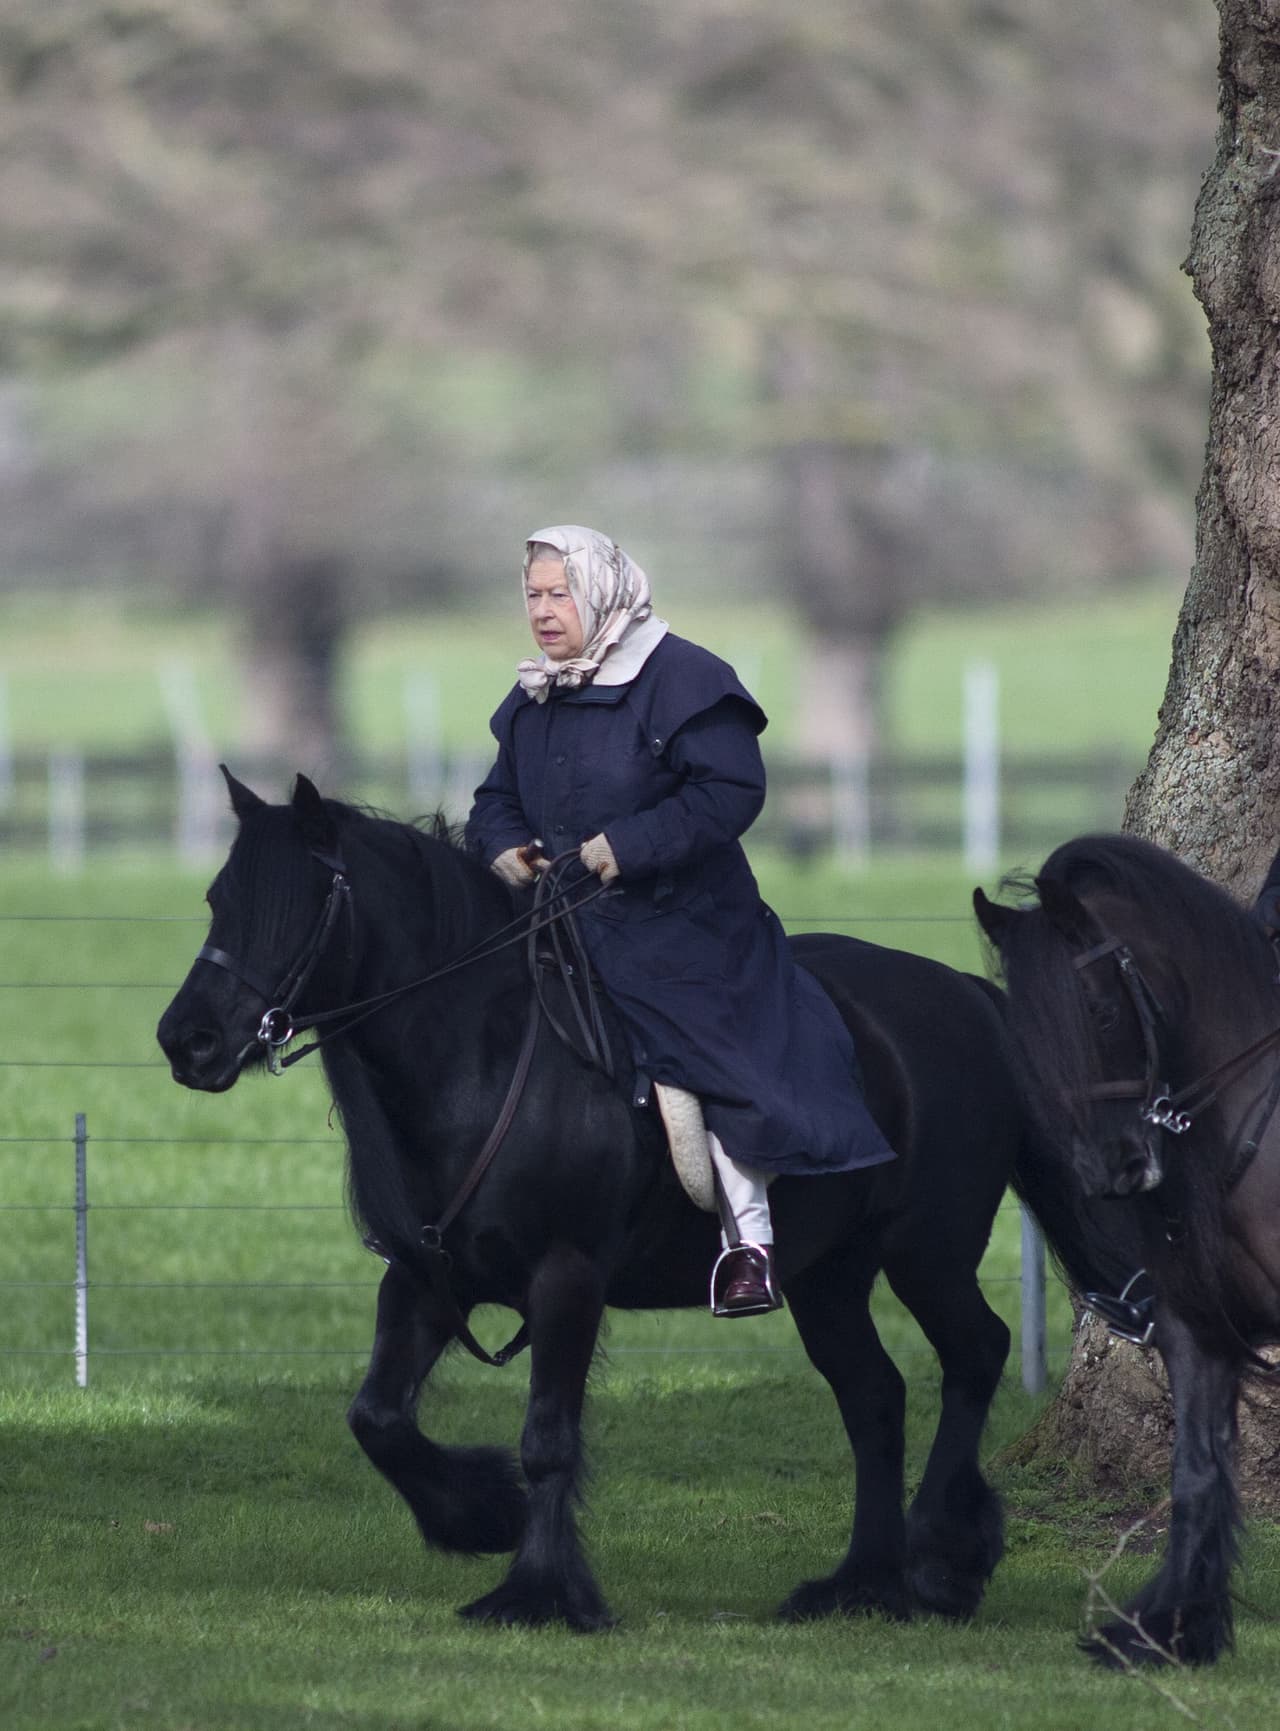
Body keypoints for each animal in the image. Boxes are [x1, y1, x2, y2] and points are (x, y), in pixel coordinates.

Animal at [157, 768, 1025, 1633]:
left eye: (299, 903)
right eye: (218, 899)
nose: (186, 1040)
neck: (485, 1056)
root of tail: (966, 992)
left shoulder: (566, 1276)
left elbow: (547, 1436)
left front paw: (538, 1589)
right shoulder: (424, 1278)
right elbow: (376, 1416)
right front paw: (483, 1514)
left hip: (928, 1249)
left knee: (977, 1351)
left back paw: (943, 1558)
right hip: (830, 1274)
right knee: (874, 1395)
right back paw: (861, 1582)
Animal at [975, 832, 1280, 1668]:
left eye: (1101, 1010)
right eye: (1026, 1039)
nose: (1110, 1171)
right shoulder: (1197, 1327)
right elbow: (1197, 1471)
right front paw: (1170, 1630)